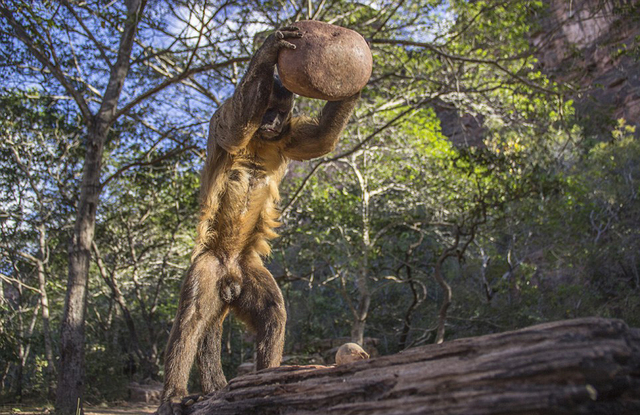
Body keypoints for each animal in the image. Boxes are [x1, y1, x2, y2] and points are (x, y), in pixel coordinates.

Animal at [157, 26, 360, 415]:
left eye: (280, 113)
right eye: (267, 111)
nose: (272, 122)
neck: (262, 135)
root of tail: (230, 273)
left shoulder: (287, 135)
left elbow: (321, 140)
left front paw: (356, 82)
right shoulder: (223, 114)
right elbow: (235, 129)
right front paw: (267, 52)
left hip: (247, 267)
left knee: (272, 313)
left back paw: (267, 378)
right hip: (209, 265)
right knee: (192, 318)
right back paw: (173, 395)